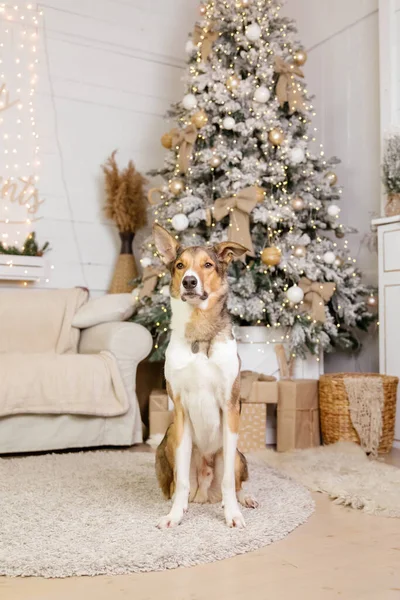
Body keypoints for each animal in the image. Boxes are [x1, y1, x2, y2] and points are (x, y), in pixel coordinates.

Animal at [152, 225, 258, 528]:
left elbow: (228, 482)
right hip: (168, 442)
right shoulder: (180, 409)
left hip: (237, 454)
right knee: (178, 484)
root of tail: (205, 495)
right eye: (180, 265)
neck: (199, 332)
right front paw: (175, 516)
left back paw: (243, 500)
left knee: (234, 482)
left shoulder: (230, 406)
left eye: (208, 265)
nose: (189, 282)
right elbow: (181, 483)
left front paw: (233, 514)